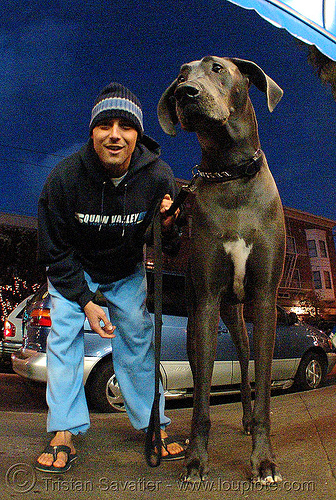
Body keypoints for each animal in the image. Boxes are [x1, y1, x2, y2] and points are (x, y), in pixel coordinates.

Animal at [158, 55, 286, 484]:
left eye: (217, 68)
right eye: (180, 75)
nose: (185, 93)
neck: (230, 175)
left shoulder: (264, 300)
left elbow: (263, 393)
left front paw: (263, 462)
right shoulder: (208, 303)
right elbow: (200, 400)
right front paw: (196, 459)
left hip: (242, 322)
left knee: (246, 371)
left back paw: (246, 420)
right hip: (205, 321)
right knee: (202, 371)